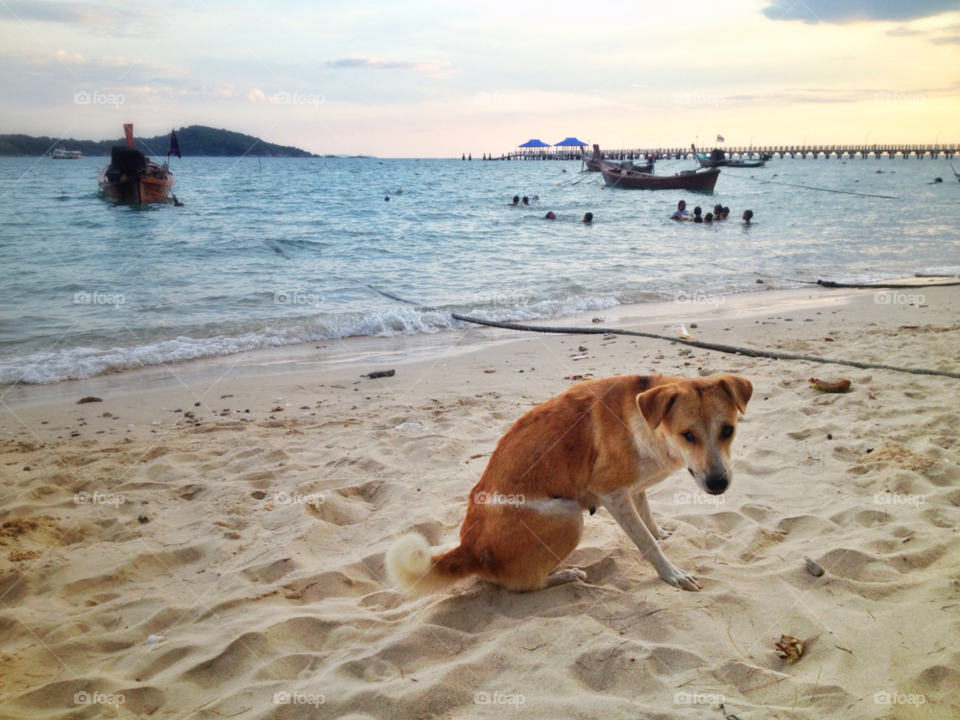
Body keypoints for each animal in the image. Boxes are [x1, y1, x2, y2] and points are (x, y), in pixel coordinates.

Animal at [384, 374, 752, 592]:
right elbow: (646, 542)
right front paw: (671, 573)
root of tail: (471, 549)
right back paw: (564, 575)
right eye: (688, 435)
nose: (719, 483)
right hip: (568, 517)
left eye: (728, 430)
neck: (647, 423)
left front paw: (663, 533)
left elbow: (649, 520)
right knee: (524, 584)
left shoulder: (635, 490)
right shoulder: (613, 494)